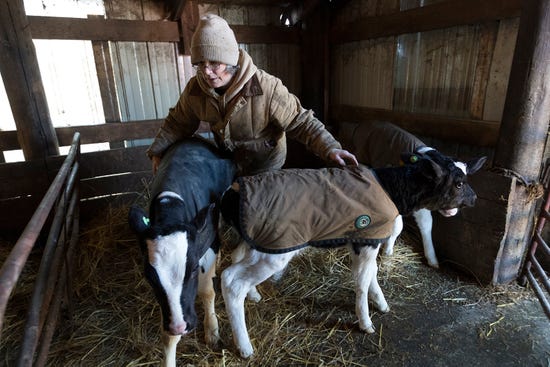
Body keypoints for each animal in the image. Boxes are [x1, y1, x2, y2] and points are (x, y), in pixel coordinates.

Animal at [129, 138, 237, 367]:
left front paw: (212, 331)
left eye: (193, 269)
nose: (180, 326)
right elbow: (169, 335)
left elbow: (207, 291)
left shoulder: (209, 241)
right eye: (149, 276)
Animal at [220, 148, 488, 358]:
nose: (475, 199)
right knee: (231, 280)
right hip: (275, 248)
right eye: (459, 183)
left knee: (235, 260)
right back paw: (244, 346)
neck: (392, 188)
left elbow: (371, 273)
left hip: (257, 243)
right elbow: (361, 280)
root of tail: (232, 193)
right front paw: (365, 321)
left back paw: (253, 295)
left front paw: (380, 302)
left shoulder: (363, 240)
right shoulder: (368, 238)